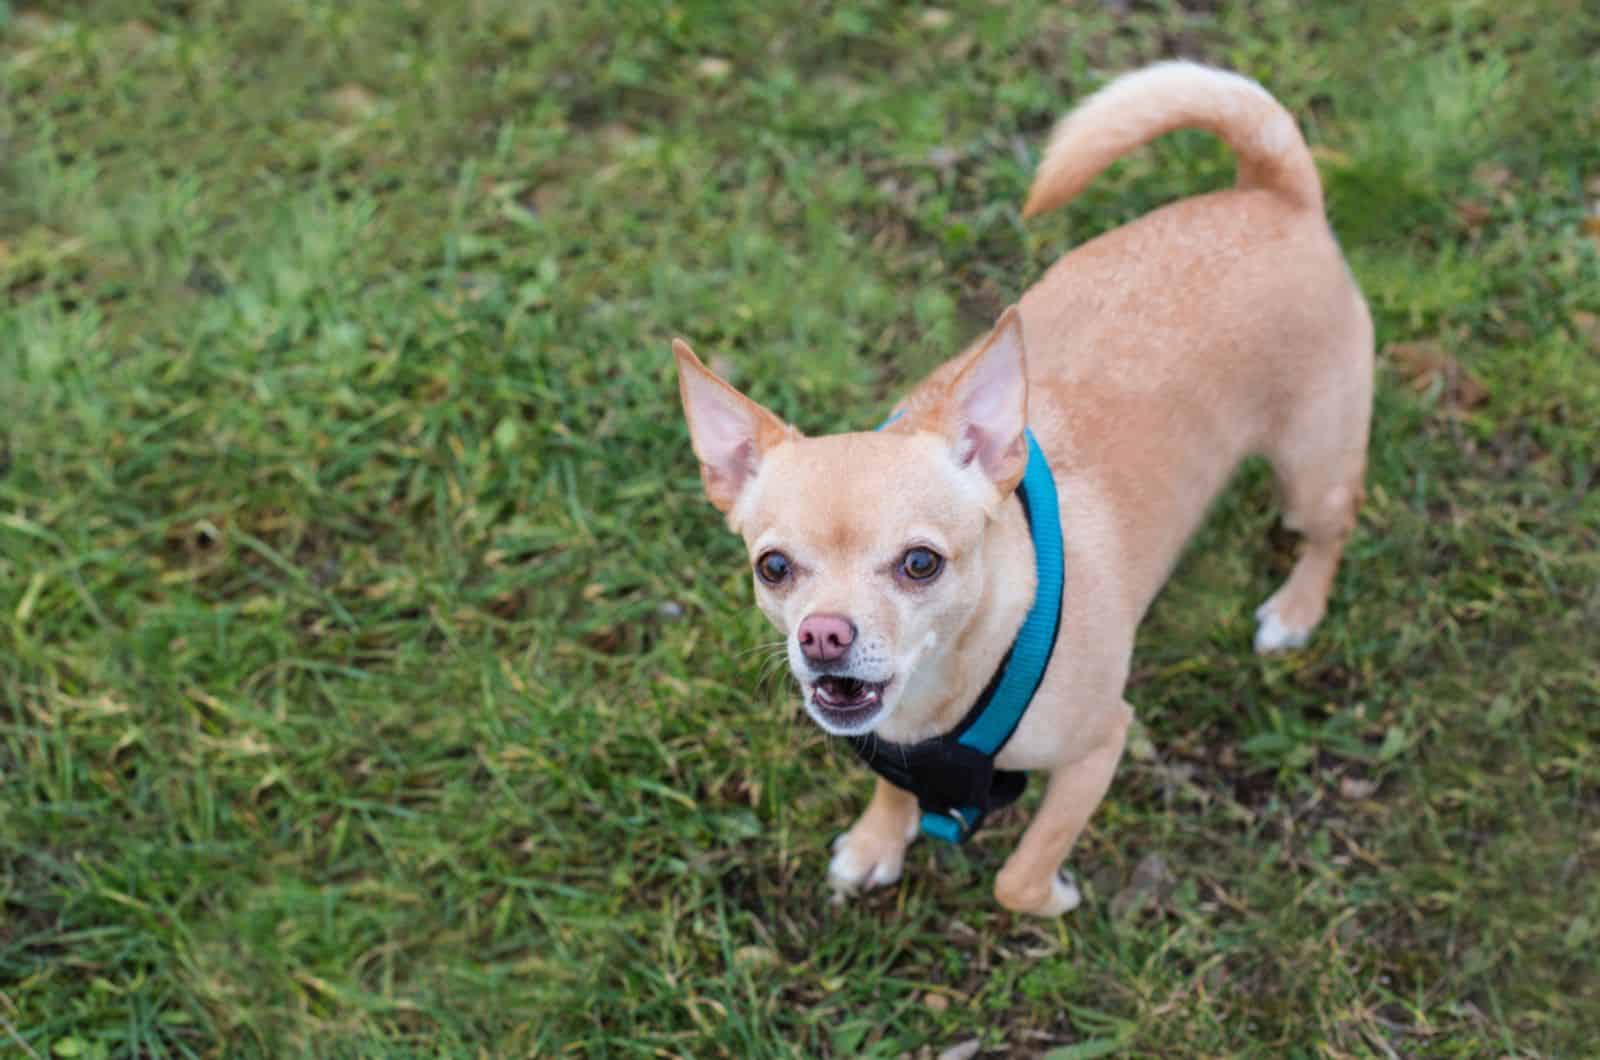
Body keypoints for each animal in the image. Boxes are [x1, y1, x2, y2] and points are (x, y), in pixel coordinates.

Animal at [668, 62, 1369, 915]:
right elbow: (896, 791)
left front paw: (1052, 897)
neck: (944, 692)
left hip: (1312, 470)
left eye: (921, 564)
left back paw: (1296, 610)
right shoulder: (889, 739)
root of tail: (1274, 190)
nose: (822, 636)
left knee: (1331, 531)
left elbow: (1018, 871)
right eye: (773, 568)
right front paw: (877, 841)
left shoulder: (1099, 747)